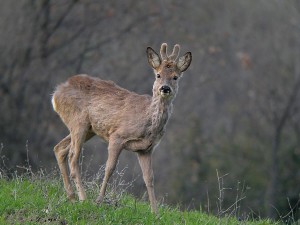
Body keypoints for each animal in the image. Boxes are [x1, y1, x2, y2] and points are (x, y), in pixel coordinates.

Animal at [51, 42, 192, 213]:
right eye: (158, 75)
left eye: (175, 77)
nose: (165, 88)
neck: (147, 121)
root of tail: (56, 94)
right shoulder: (117, 136)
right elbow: (109, 168)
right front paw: (99, 201)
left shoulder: (146, 149)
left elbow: (149, 178)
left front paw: (155, 212)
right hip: (79, 122)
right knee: (73, 157)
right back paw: (83, 199)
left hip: (88, 129)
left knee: (59, 149)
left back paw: (72, 197)